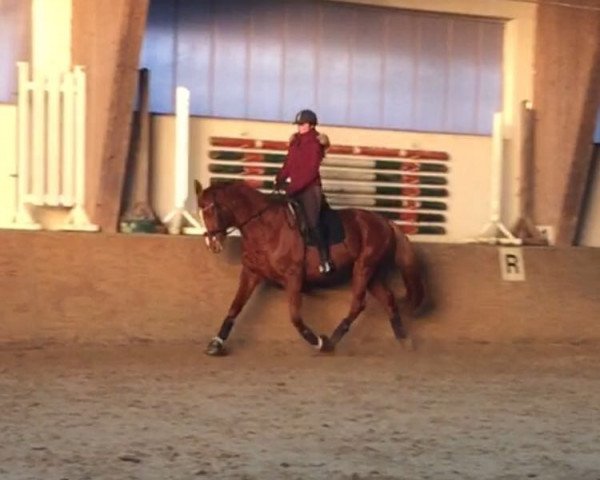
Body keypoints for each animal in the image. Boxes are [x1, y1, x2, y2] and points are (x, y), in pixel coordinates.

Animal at [195, 178, 424, 354]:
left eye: (212, 210)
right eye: (200, 212)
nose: (212, 243)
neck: (265, 228)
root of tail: (384, 221)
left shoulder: (293, 277)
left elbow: (295, 318)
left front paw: (318, 342)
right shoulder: (251, 273)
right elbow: (234, 307)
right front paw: (216, 344)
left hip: (364, 267)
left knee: (359, 304)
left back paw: (330, 342)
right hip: (372, 273)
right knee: (388, 299)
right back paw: (404, 341)